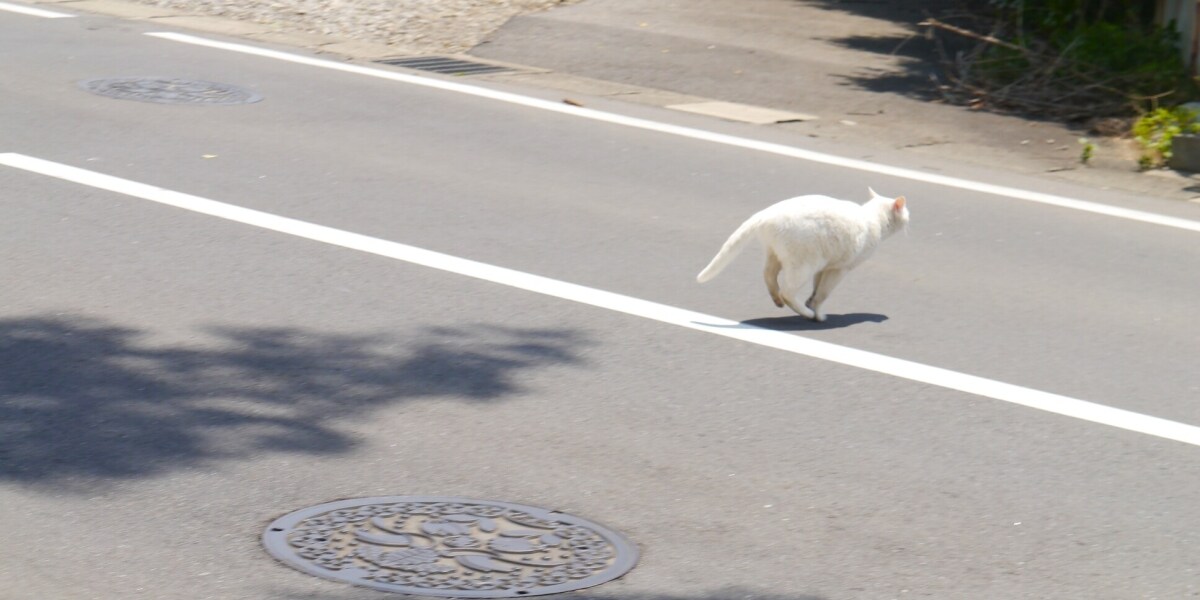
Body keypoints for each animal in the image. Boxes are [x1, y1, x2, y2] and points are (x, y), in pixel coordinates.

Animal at [700, 188, 902, 321]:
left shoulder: (825, 267)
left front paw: (811, 303)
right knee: (787, 291)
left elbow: (816, 290)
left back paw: (778, 300)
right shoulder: (839, 269)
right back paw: (806, 313)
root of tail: (766, 213)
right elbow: (823, 293)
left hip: (777, 255)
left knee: (768, 276)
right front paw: (818, 314)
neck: (873, 218)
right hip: (802, 266)